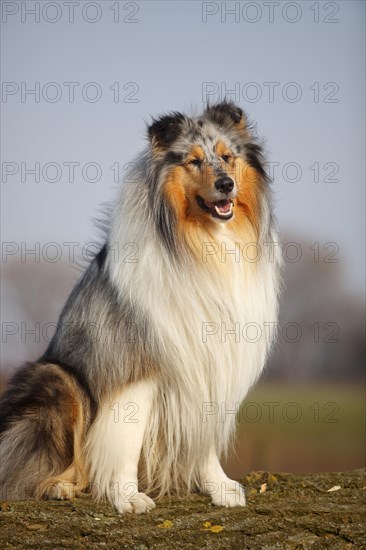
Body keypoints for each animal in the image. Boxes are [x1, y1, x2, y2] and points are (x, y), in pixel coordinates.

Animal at [0, 102, 282, 512]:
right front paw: (127, 496)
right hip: (58, 377)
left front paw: (219, 486)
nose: (226, 184)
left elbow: (204, 439)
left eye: (228, 157)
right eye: (194, 161)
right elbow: (126, 440)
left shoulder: (209, 364)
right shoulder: (136, 364)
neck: (202, 246)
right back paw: (60, 485)